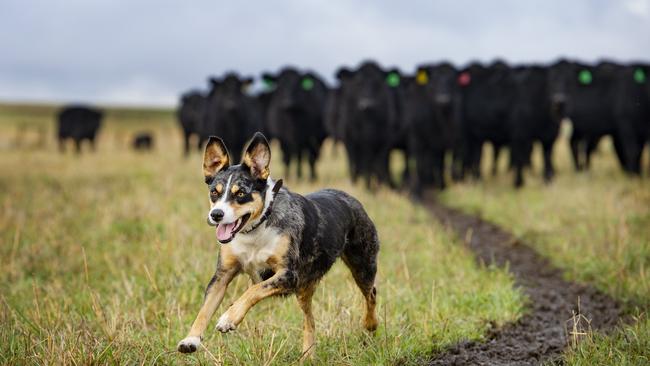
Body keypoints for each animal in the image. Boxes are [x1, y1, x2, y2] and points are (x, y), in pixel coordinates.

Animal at [177, 132, 380, 360]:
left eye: (241, 193)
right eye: (214, 192)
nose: (216, 214)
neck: (256, 229)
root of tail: (350, 198)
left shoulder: (288, 275)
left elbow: (254, 290)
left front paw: (229, 318)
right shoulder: (222, 275)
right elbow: (204, 310)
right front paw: (191, 340)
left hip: (362, 264)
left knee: (371, 294)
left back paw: (370, 324)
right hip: (304, 288)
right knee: (310, 320)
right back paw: (308, 355)